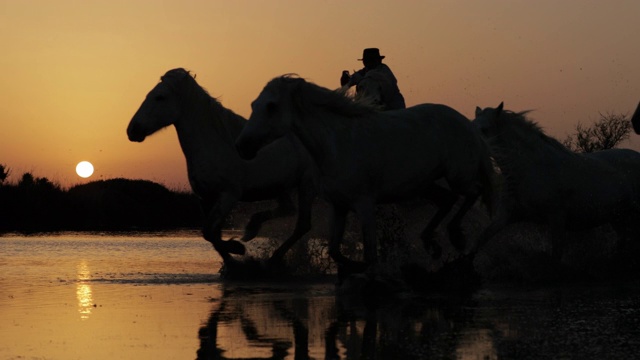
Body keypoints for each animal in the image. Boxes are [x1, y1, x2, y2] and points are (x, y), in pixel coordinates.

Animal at [125, 69, 318, 268]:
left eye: (160, 97)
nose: (132, 130)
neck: (216, 145)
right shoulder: (206, 198)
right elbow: (211, 234)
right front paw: (231, 259)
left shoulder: (228, 195)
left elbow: (209, 232)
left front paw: (237, 249)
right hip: (279, 188)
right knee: (288, 210)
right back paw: (251, 229)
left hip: (306, 185)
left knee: (302, 225)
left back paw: (273, 258)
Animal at [236, 74, 496, 274]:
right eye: (253, 104)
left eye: (272, 106)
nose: (242, 146)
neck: (336, 145)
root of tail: (468, 125)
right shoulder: (339, 206)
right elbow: (335, 250)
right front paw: (351, 267)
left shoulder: (365, 205)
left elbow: (370, 255)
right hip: (423, 185)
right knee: (448, 199)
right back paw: (432, 244)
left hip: (458, 176)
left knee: (473, 192)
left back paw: (456, 237)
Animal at [470, 101, 640, 258]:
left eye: (484, 129)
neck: (530, 169)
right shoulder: (506, 216)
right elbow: (478, 243)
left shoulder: (557, 218)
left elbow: (556, 257)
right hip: (620, 218)